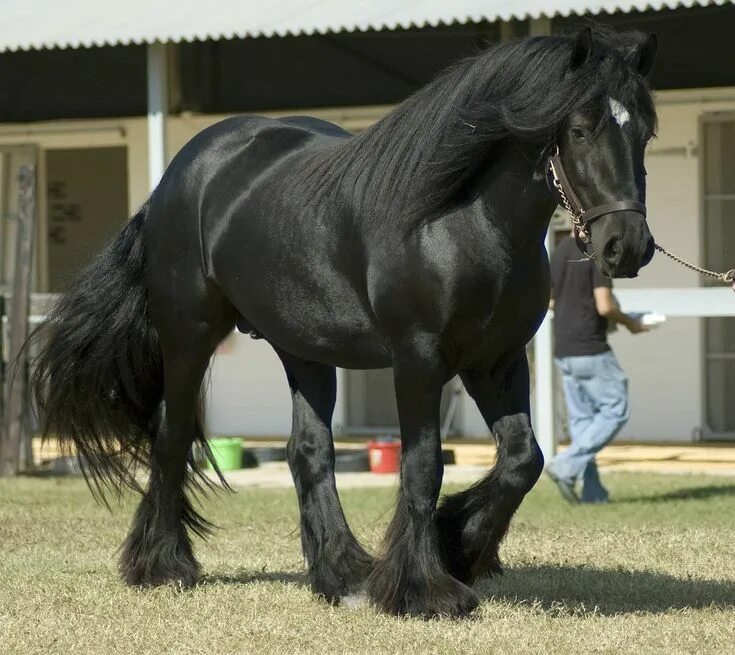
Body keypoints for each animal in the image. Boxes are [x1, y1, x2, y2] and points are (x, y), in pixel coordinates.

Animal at [31, 26, 660, 620]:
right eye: (578, 130)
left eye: (644, 133)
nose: (625, 246)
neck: (462, 222)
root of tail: (176, 179)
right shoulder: (418, 360)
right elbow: (423, 466)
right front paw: (425, 591)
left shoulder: (496, 362)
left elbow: (523, 460)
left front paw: (457, 546)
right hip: (188, 337)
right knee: (172, 435)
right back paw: (164, 566)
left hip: (303, 348)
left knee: (308, 451)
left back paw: (340, 574)